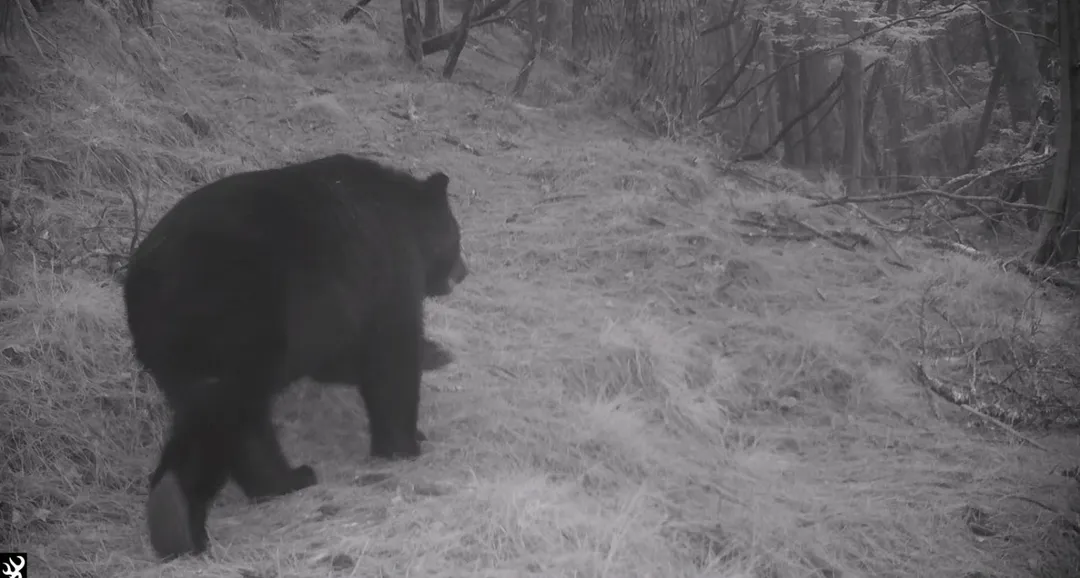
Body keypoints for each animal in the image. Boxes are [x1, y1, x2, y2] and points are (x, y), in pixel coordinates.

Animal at [122, 153, 469, 561]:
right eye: (457, 237)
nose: (465, 271)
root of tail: (147, 278)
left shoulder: (333, 313)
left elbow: (342, 359)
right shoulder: (386, 273)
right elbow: (390, 357)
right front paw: (405, 443)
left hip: (182, 348)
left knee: (224, 414)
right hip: (241, 316)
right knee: (233, 413)